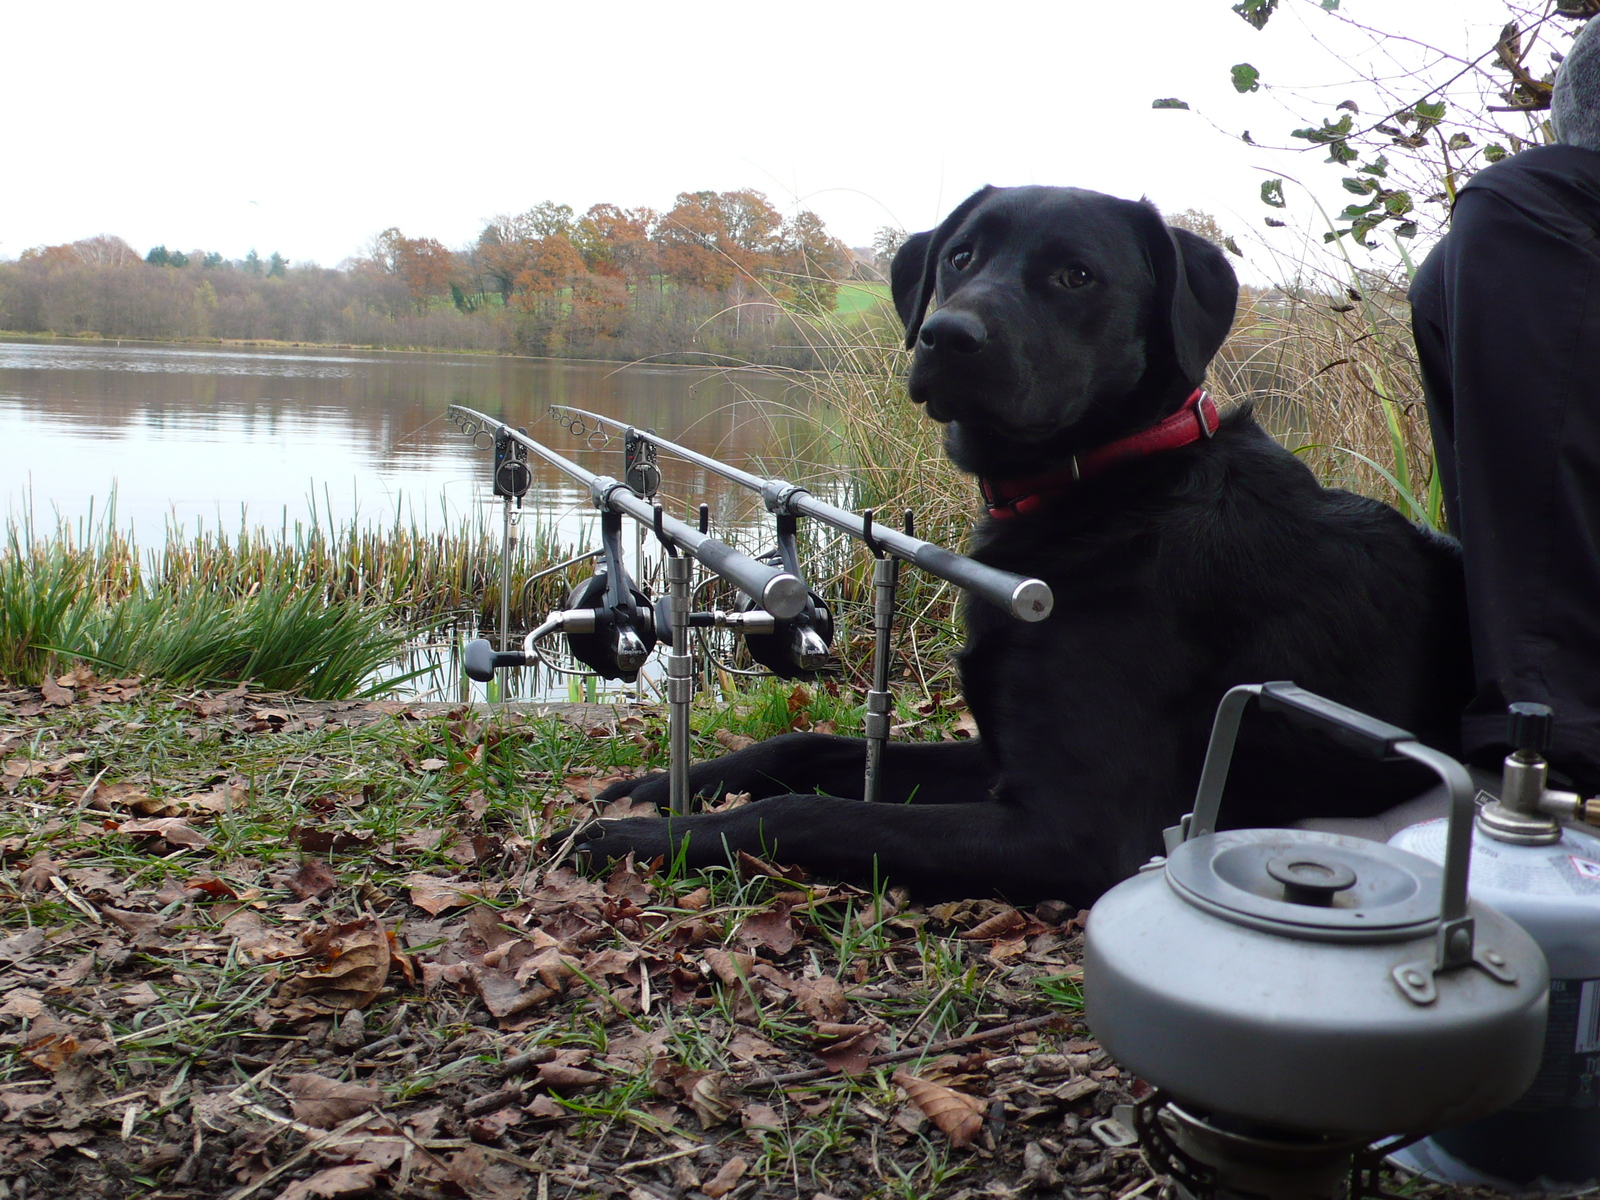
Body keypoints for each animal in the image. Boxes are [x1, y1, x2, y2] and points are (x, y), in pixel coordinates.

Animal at [569, 185, 1465, 902]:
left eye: (1077, 276)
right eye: (961, 255)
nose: (945, 335)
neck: (1107, 488)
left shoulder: (1072, 830)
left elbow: (808, 813)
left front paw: (642, 838)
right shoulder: (999, 755)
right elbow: (806, 743)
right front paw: (654, 788)